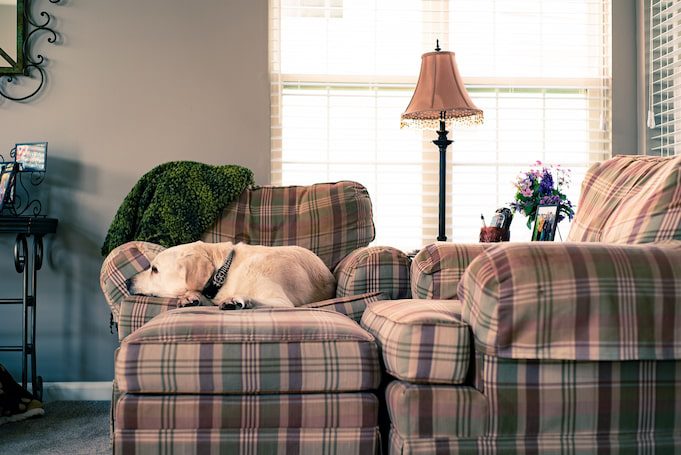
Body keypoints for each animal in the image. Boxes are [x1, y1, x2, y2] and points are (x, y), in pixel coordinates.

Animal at [128, 242, 334, 310]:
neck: (224, 271)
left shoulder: (282, 302)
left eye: (154, 269)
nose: (128, 281)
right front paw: (191, 298)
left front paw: (237, 299)